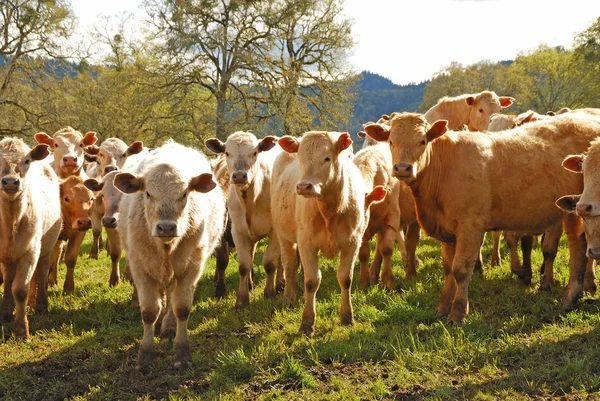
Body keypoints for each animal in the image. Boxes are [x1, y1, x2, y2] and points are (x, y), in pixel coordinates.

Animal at [0, 138, 61, 338]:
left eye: (26, 160)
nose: (10, 182)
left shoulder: (30, 252)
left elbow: (20, 289)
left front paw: (21, 329)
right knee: (9, 278)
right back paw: (6, 310)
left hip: (47, 245)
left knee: (42, 270)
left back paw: (41, 305)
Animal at [114, 139, 225, 368]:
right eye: (148, 193)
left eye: (184, 194)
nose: (166, 227)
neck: (166, 246)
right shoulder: (140, 267)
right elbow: (149, 311)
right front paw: (146, 354)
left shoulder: (191, 267)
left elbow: (181, 308)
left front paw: (182, 353)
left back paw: (168, 329)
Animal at [205, 131, 282, 306]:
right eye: (227, 152)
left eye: (254, 153)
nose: (239, 176)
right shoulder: (237, 231)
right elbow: (241, 265)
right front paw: (238, 298)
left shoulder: (275, 231)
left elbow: (270, 263)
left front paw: (269, 294)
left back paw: (281, 284)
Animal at [274, 132, 366, 338]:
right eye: (300, 158)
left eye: (327, 158)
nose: (303, 187)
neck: (330, 209)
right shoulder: (306, 242)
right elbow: (311, 281)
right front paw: (307, 323)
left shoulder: (353, 242)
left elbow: (345, 278)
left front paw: (347, 317)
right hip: (284, 236)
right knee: (290, 266)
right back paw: (289, 297)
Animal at [364, 111, 600, 324]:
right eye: (391, 141)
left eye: (422, 141)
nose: (403, 168)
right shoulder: (448, 231)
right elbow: (448, 268)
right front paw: (443, 307)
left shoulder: (470, 226)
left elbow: (460, 269)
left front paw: (458, 312)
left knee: (576, 248)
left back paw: (572, 295)